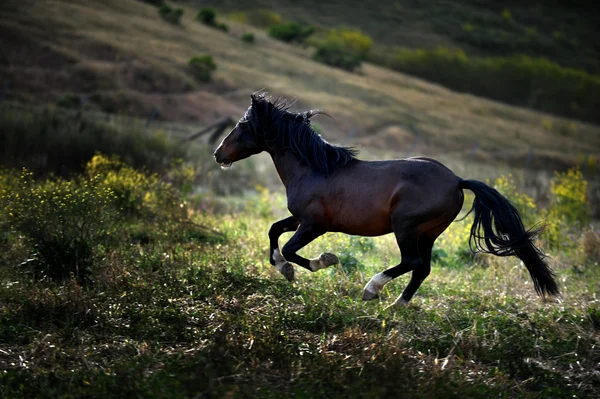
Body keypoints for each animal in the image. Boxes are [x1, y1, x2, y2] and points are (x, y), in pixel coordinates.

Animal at [213, 94, 560, 306]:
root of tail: (457, 181)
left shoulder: (314, 225)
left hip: (405, 226)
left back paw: (372, 289)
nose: (218, 154)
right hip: (428, 233)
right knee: (422, 268)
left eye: (242, 125)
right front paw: (284, 268)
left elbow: (289, 248)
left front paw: (321, 261)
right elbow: (273, 230)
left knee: (412, 262)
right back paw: (398, 304)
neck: (313, 169)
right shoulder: (299, 219)